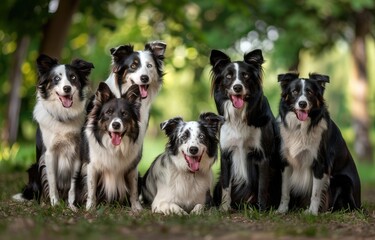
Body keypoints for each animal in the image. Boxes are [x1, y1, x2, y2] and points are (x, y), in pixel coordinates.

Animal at [12, 54, 94, 210]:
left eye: (73, 77)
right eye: (56, 78)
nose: (67, 88)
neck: (63, 116)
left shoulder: (76, 155)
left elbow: (72, 184)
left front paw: (71, 205)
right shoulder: (49, 154)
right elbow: (52, 181)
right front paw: (55, 203)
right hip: (33, 167)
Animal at [210, 48, 280, 210]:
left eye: (246, 76)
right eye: (228, 76)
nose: (237, 87)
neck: (239, 117)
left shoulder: (263, 156)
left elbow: (262, 186)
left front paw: (262, 210)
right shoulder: (226, 154)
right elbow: (226, 185)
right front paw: (224, 209)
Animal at [278, 72, 362, 215]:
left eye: (310, 92)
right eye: (294, 92)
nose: (302, 103)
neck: (301, 128)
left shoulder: (320, 163)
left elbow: (315, 193)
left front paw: (312, 213)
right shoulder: (286, 162)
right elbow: (284, 190)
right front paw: (281, 210)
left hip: (343, 181)